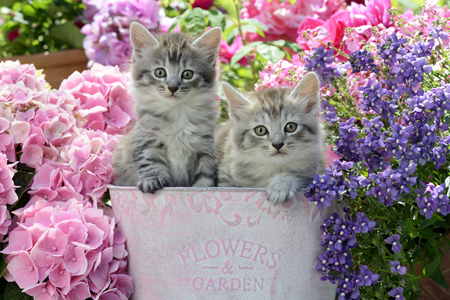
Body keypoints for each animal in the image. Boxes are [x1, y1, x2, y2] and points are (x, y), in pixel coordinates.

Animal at [112, 22, 221, 192]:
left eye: (187, 74)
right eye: (160, 72)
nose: (172, 87)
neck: (177, 112)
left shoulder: (205, 148)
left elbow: (205, 175)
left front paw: (204, 189)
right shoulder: (147, 141)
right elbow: (150, 163)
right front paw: (151, 181)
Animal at [215, 72, 326, 204]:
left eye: (290, 127)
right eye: (260, 130)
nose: (277, 144)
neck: (274, 168)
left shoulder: (318, 172)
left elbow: (299, 175)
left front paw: (280, 185)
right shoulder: (225, 178)